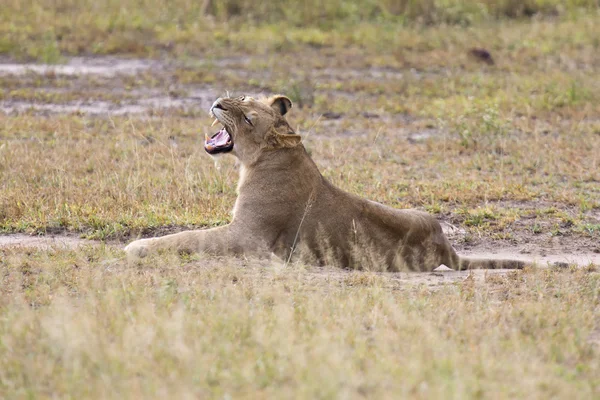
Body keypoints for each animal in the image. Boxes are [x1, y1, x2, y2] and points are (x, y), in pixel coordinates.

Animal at [125, 94, 524, 272]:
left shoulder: (247, 237)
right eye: (242, 96)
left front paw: (137, 246)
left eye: (248, 117)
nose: (218, 102)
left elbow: (186, 238)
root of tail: (446, 248)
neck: (257, 162)